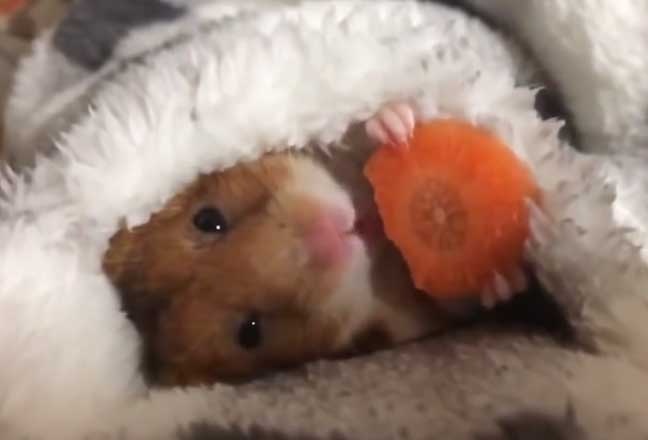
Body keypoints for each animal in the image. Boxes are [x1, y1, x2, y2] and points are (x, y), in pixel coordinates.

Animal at [102, 102, 528, 386]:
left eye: (208, 220)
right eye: (250, 331)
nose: (328, 231)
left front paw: (394, 124)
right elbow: (454, 299)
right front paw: (500, 279)